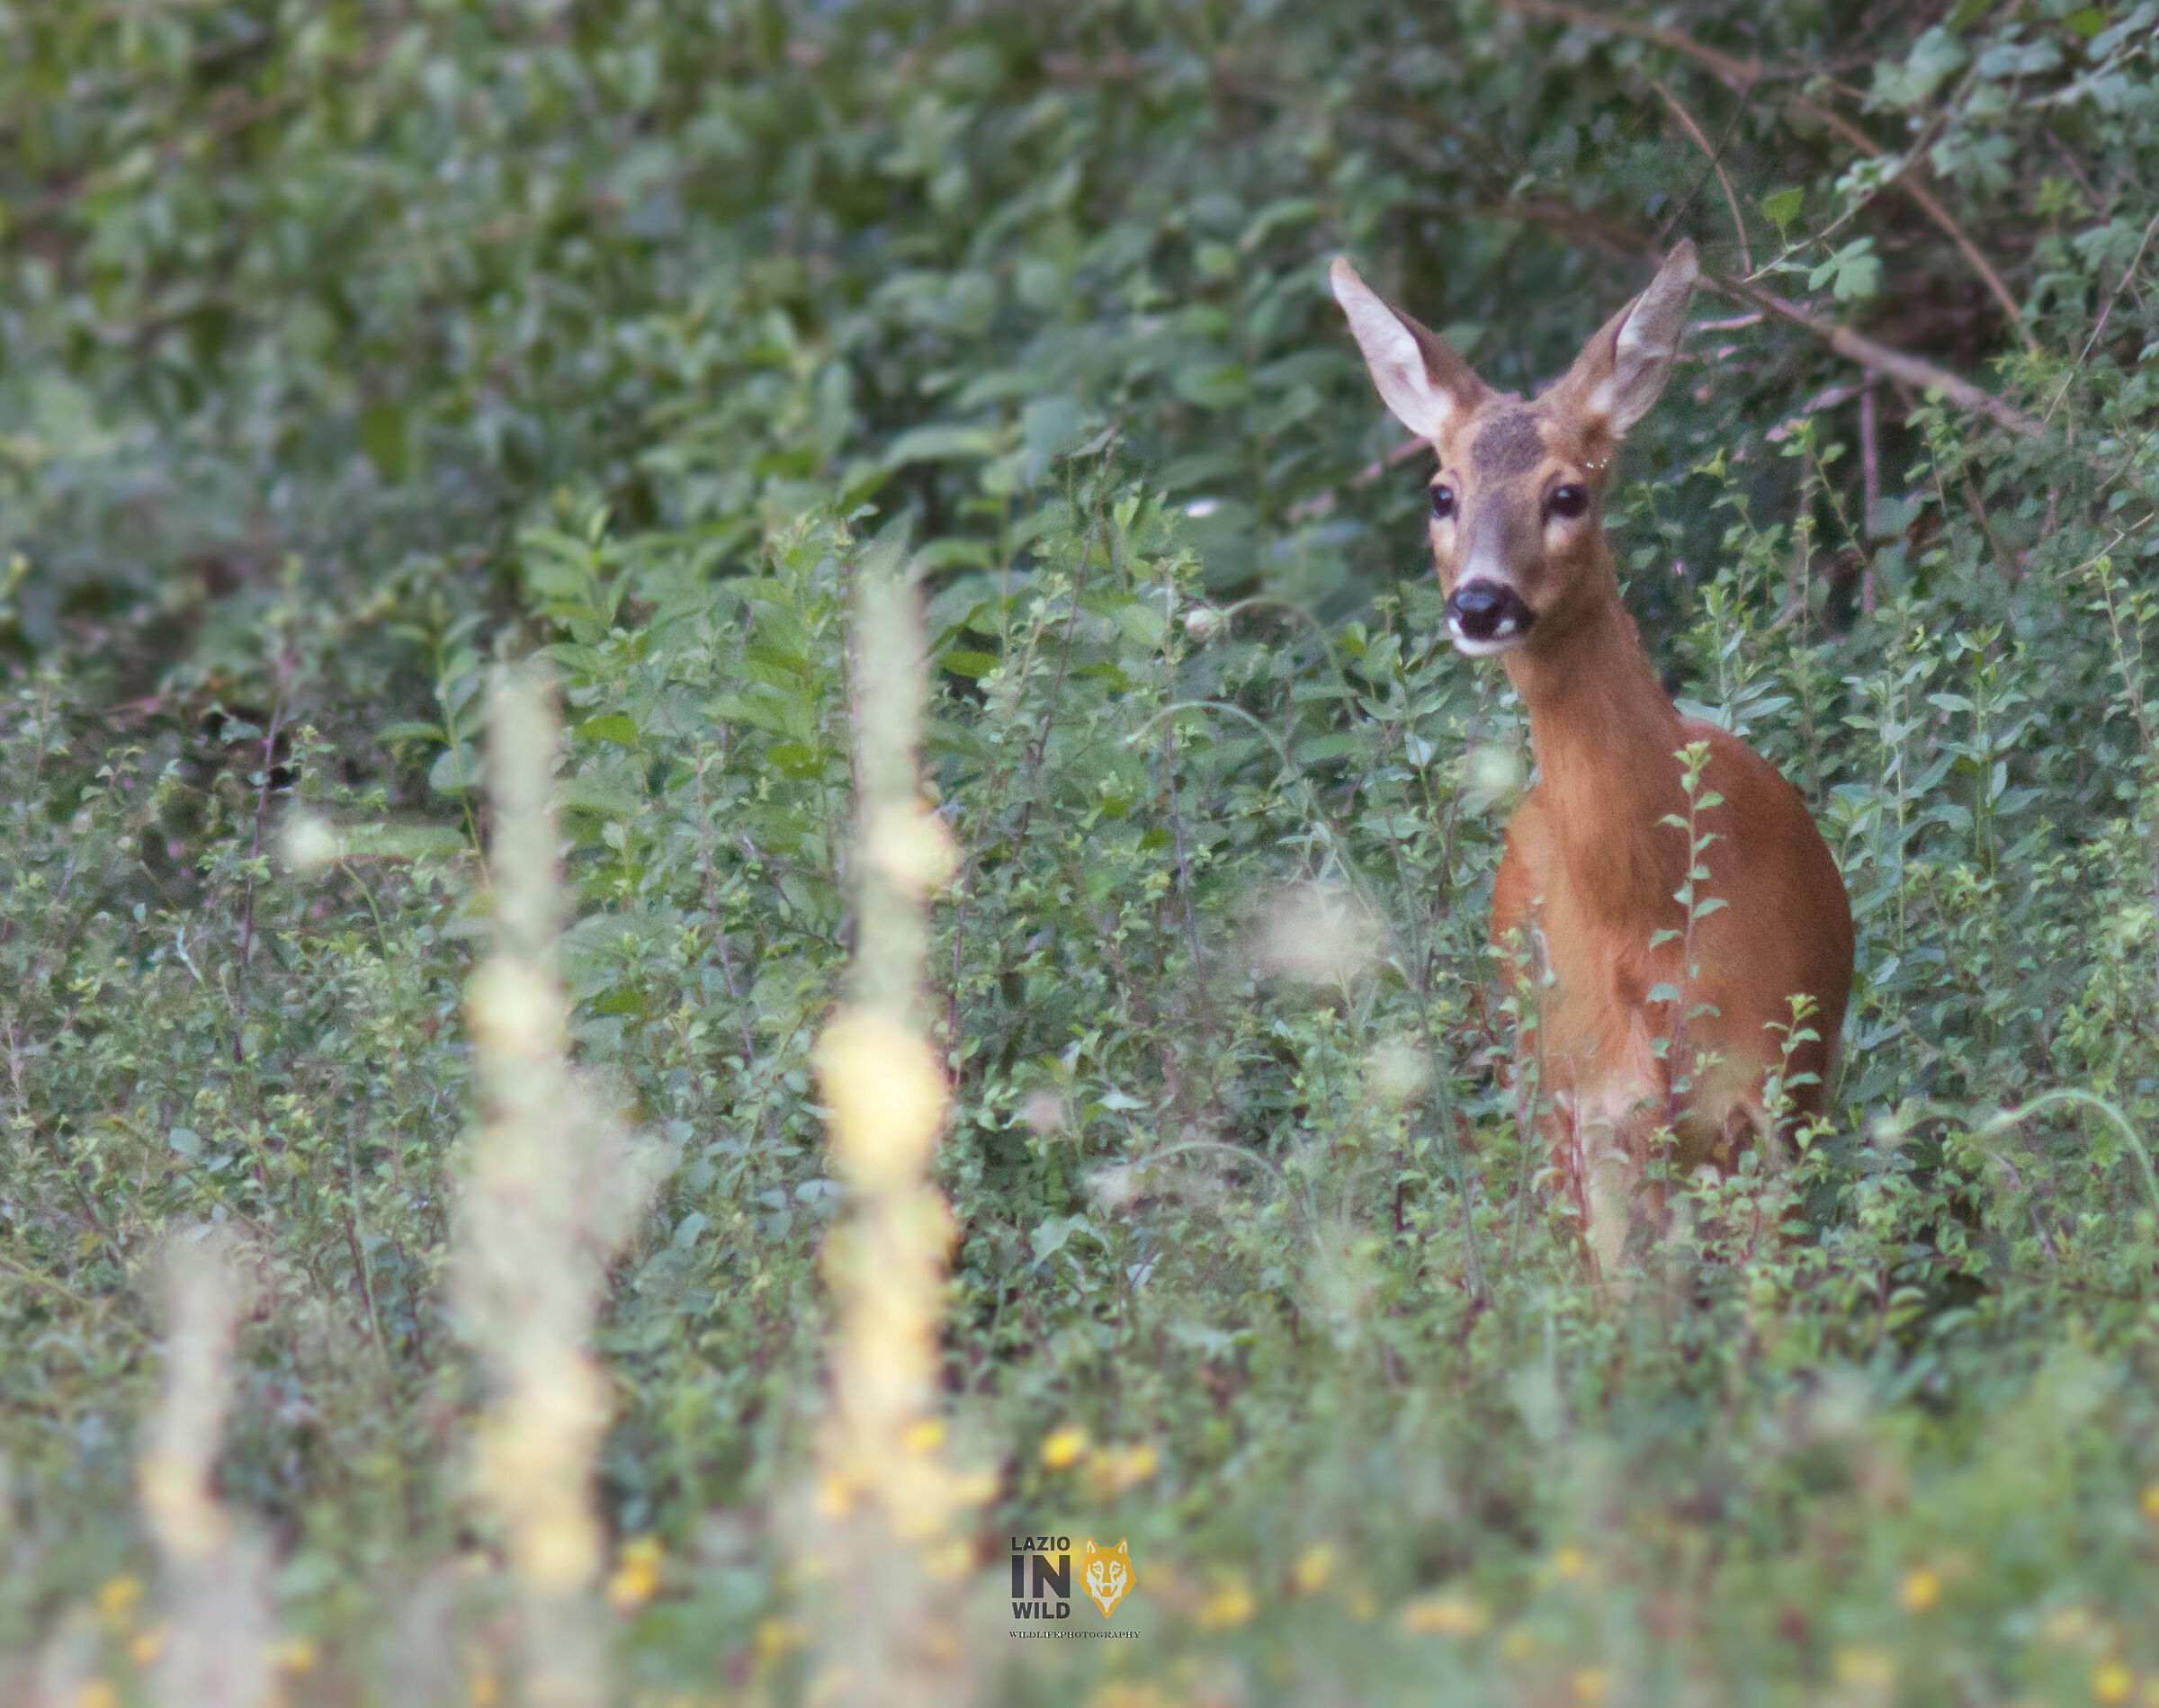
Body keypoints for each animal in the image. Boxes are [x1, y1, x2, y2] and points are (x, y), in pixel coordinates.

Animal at [1330, 239, 1855, 1282]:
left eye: (1567, 492)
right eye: (1442, 493)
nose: (1480, 603)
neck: (1648, 915)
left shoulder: (1771, 1086)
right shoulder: (1600, 1111)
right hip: (1539, 1084)